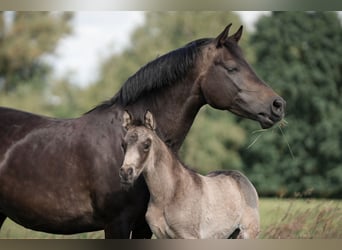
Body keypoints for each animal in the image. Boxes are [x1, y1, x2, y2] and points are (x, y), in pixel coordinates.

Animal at [120, 111, 260, 238]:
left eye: (147, 144)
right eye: (123, 144)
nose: (126, 173)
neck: (168, 195)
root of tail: (241, 177)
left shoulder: (188, 236)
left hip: (247, 233)